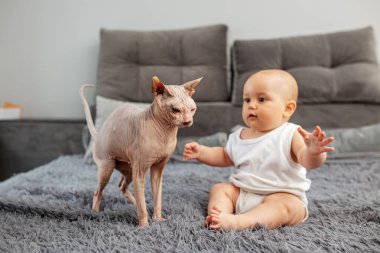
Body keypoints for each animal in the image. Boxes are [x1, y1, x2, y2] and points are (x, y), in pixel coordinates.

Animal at [80, 75, 202, 227]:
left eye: (192, 109)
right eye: (175, 110)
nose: (187, 122)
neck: (166, 133)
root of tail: (98, 135)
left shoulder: (158, 168)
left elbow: (157, 197)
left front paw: (157, 219)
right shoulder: (140, 170)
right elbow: (142, 199)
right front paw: (144, 226)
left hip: (129, 169)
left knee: (122, 186)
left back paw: (134, 204)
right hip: (108, 167)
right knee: (98, 191)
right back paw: (95, 213)